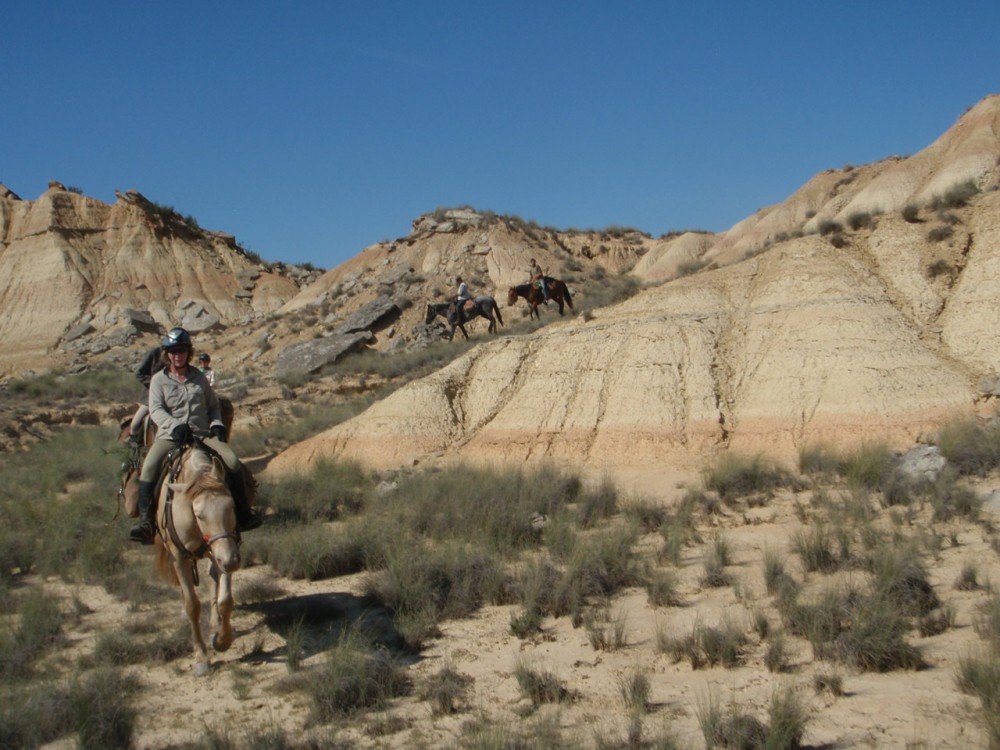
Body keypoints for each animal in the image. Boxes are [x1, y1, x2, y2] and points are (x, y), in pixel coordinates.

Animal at [155, 444, 243, 680]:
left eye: (232, 506)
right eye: (199, 515)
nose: (231, 562)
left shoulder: (224, 549)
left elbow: (225, 600)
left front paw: (222, 640)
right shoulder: (180, 559)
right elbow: (192, 605)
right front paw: (201, 657)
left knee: (213, 578)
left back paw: (214, 624)